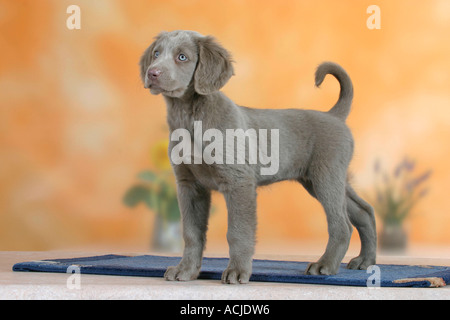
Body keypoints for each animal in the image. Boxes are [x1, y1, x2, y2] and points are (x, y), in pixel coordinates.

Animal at [140, 30, 376, 284]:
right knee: (364, 212)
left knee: (342, 224)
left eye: (182, 57)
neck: (189, 117)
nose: (152, 73)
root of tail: (334, 116)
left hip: (326, 177)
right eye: (156, 53)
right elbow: (192, 233)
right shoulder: (189, 185)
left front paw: (237, 271)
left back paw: (325, 265)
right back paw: (365, 261)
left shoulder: (238, 182)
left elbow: (238, 232)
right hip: (323, 180)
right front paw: (186, 270)